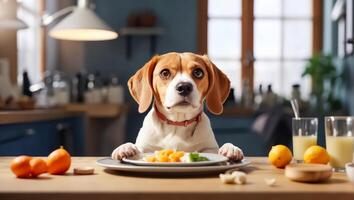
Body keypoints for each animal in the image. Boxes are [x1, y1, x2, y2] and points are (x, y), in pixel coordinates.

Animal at [110, 52, 243, 161]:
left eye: (198, 72)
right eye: (165, 73)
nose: (184, 87)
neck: (177, 124)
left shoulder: (209, 148)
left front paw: (230, 148)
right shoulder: (146, 147)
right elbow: (136, 147)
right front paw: (125, 147)